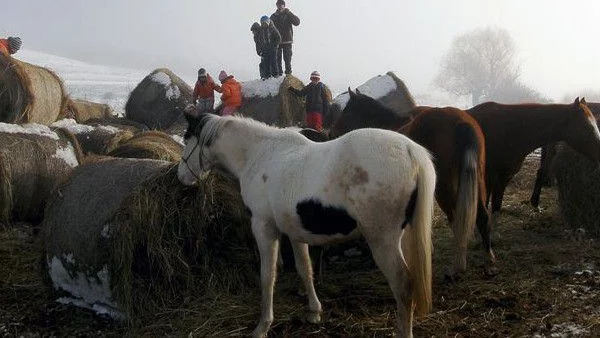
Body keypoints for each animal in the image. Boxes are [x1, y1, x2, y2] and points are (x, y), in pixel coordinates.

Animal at [177, 114, 436, 338]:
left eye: (187, 139)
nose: (180, 177)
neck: (259, 154)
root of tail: (410, 151)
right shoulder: (295, 233)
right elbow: (305, 269)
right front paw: (314, 310)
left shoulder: (264, 228)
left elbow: (267, 276)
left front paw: (263, 325)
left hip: (383, 242)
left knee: (403, 285)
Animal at [330, 89, 494, 278]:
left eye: (347, 110)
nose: (331, 132)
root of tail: (460, 121)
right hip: (478, 179)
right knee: (482, 216)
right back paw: (488, 261)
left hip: (445, 188)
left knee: (457, 219)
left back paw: (457, 267)